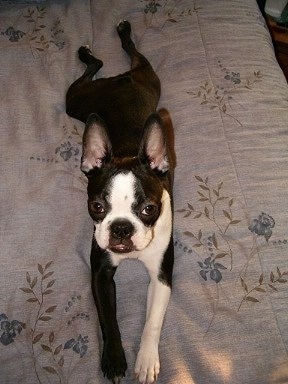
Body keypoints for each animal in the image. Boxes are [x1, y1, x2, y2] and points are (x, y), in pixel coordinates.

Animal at [66, 20, 176, 384]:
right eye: (97, 207)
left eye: (149, 209)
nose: (121, 229)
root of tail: (120, 79)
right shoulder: (100, 272)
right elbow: (108, 320)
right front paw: (114, 359)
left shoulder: (161, 274)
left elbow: (152, 322)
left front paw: (146, 360)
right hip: (77, 102)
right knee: (97, 67)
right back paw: (92, 51)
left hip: (148, 79)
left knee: (131, 55)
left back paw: (121, 35)